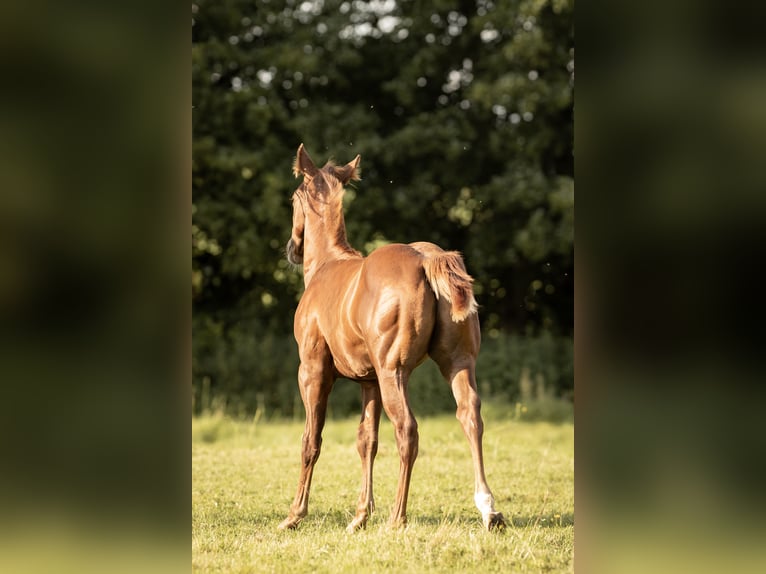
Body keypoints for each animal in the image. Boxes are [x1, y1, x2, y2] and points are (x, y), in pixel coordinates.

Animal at [280, 145, 508, 536]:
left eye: (295, 197)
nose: (292, 247)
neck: (327, 265)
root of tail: (429, 258)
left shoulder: (312, 372)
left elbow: (311, 440)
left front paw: (295, 514)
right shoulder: (368, 380)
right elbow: (366, 441)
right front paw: (360, 515)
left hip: (394, 371)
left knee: (408, 430)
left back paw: (397, 518)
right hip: (458, 362)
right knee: (470, 416)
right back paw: (488, 510)